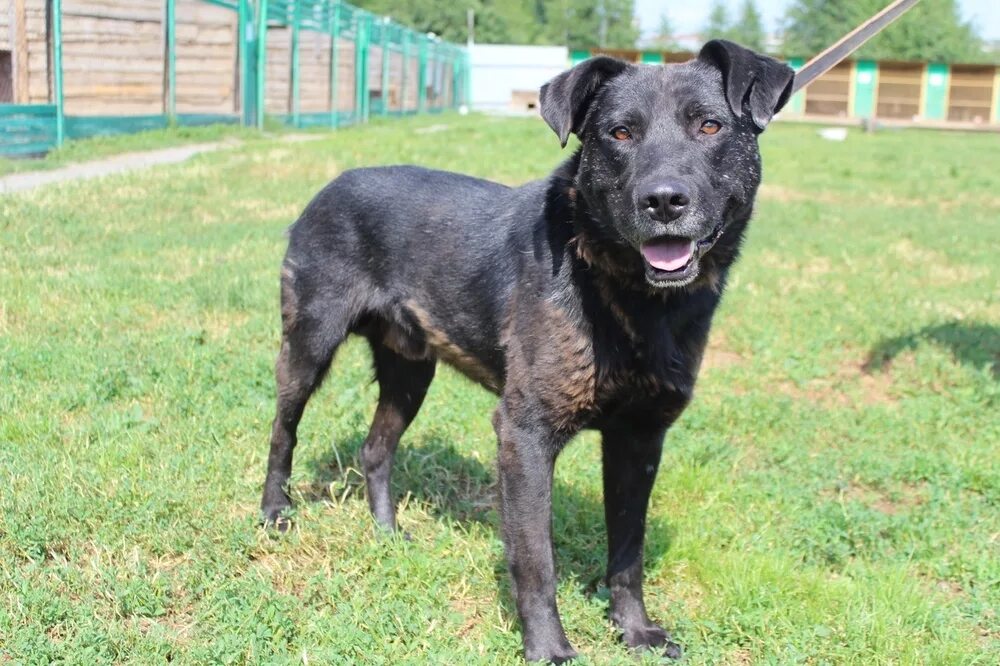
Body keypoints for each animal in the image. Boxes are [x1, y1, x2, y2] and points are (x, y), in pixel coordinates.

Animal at [262, 40, 792, 660]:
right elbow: (537, 560)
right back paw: (274, 514)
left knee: (375, 450)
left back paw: (387, 534)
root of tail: (330, 185)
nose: (663, 201)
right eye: (619, 133)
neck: (630, 297)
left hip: (411, 372)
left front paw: (634, 631)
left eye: (709, 126)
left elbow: (628, 552)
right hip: (309, 344)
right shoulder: (525, 434)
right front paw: (548, 650)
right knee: (283, 430)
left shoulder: (640, 438)